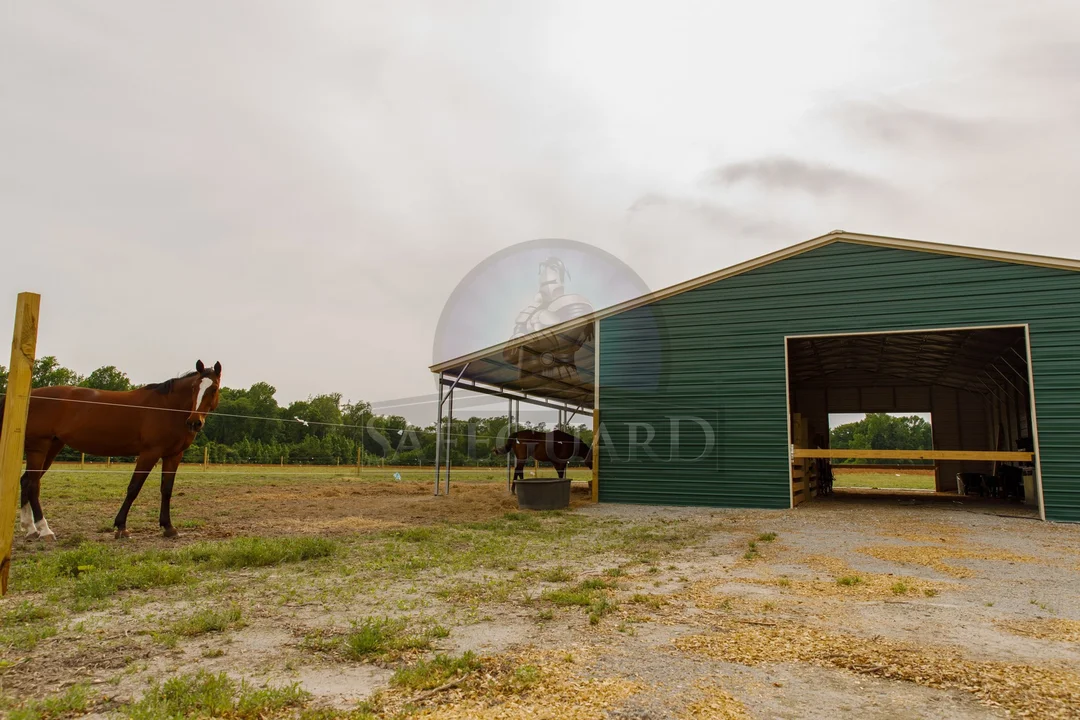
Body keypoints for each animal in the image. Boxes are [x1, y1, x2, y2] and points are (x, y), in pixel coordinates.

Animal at [1, 360, 221, 539]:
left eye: (214, 388)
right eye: (194, 387)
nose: (194, 422)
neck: (167, 407)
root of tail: (28, 396)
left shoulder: (173, 455)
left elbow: (166, 490)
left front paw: (168, 527)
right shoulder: (149, 453)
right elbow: (134, 488)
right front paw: (121, 527)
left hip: (52, 447)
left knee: (26, 481)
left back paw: (30, 529)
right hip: (39, 448)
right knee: (33, 485)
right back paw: (44, 530)